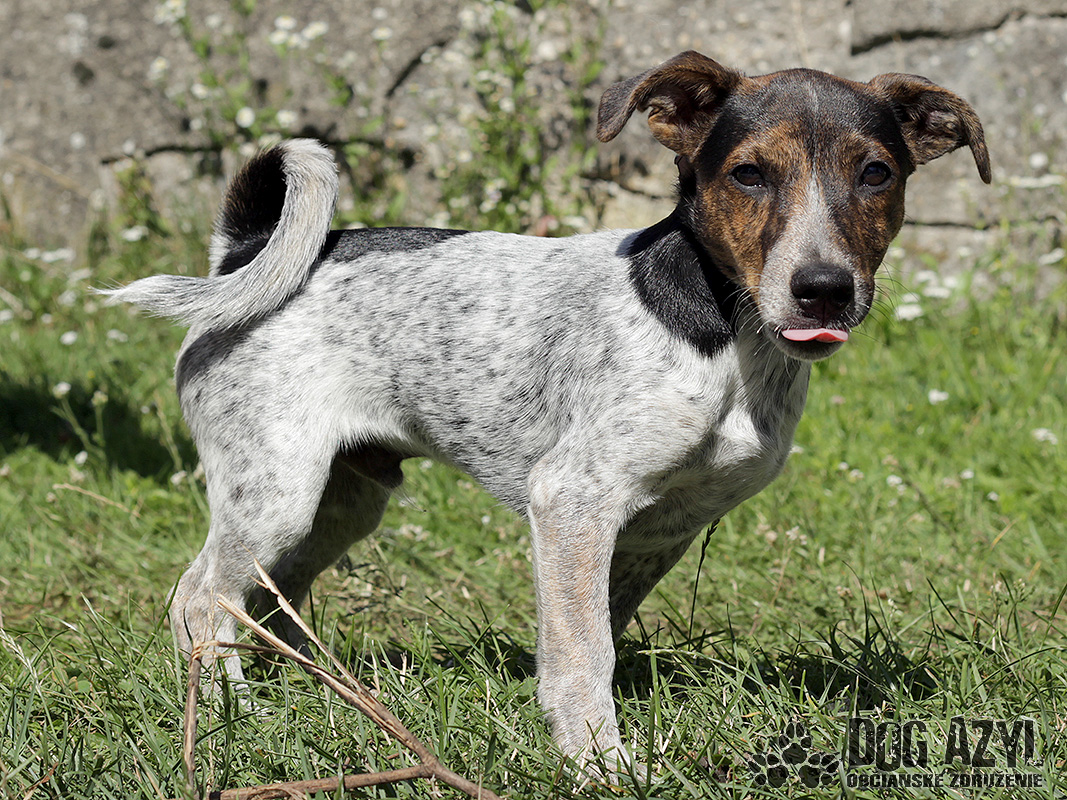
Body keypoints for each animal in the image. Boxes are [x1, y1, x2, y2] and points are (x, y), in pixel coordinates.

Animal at [105, 51, 989, 772]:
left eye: (875, 174)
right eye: (747, 175)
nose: (823, 290)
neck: (725, 337)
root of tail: (244, 253)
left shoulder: (653, 533)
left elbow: (593, 637)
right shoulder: (572, 502)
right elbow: (581, 653)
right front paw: (600, 766)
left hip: (341, 501)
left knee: (272, 604)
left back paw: (325, 703)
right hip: (276, 492)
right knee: (199, 602)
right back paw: (233, 720)